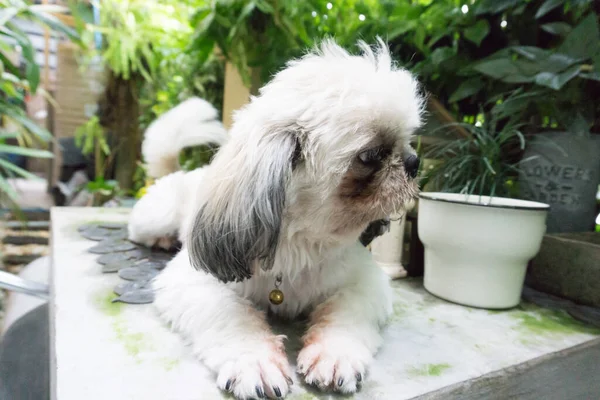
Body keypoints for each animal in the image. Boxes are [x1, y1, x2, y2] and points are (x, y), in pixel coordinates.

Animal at [129, 38, 424, 400]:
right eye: (370, 156)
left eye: (407, 142)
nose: (413, 162)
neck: (301, 242)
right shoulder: (197, 280)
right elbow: (231, 314)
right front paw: (253, 360)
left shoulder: (365, 281)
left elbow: (346, 313)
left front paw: (334, 354)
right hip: (154, 217)